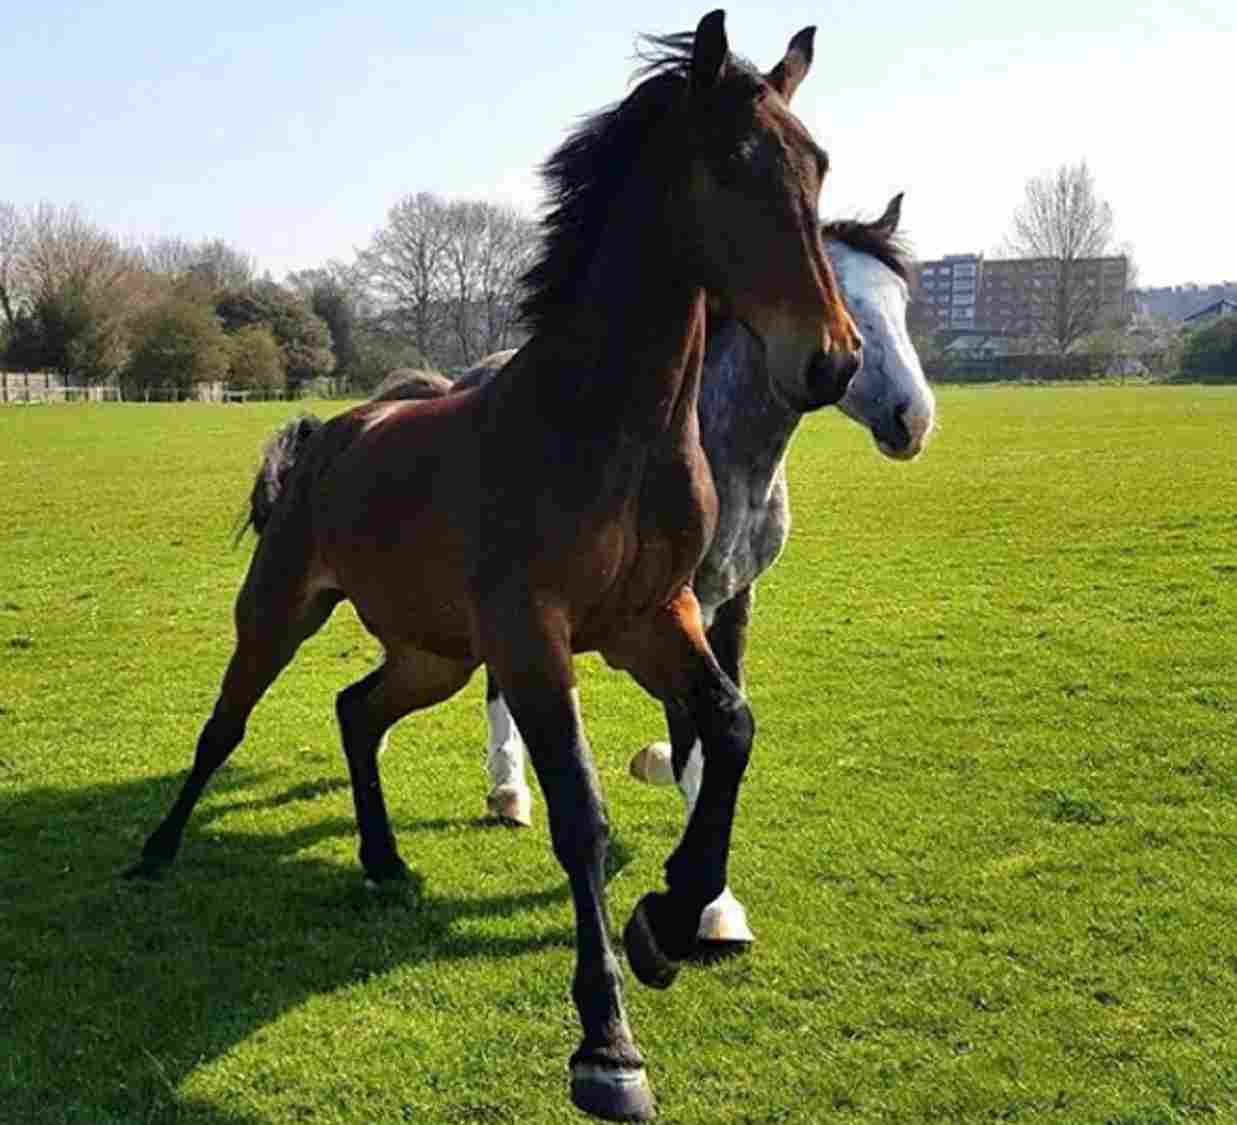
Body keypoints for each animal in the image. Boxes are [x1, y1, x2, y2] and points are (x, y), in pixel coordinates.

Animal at [125, 13, 860, 1118]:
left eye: (816, 166)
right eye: (731, 164)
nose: (833, 359)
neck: (607, 429)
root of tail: (327, 432)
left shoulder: (653, 619)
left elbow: (727, 728)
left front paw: (669, 921)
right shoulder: (533, 639)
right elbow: (580, 813)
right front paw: (607, 1046)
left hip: (437, 656)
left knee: (357, 711)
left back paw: (383, 859)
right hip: (283, 612)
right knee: (226, 725)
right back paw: (159, 850)